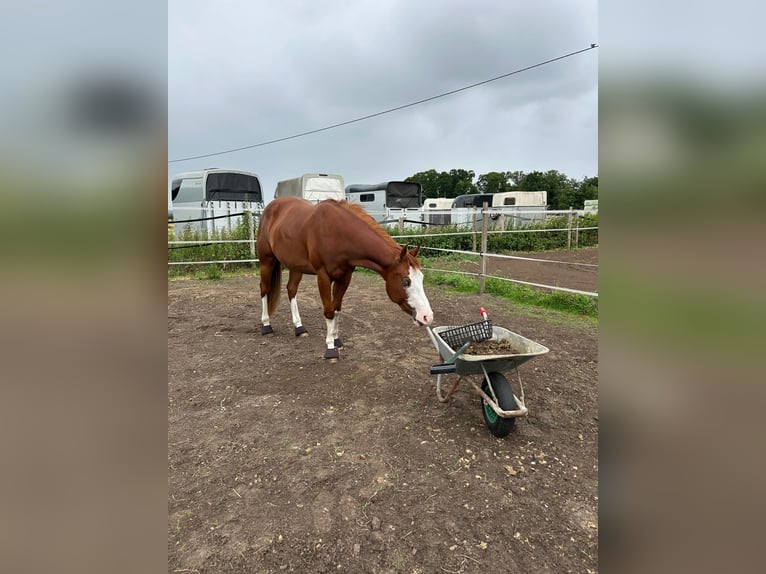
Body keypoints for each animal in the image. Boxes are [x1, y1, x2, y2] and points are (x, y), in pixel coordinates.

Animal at [256, 197, 434, 361]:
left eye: (422, 278)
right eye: (406, 281)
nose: (427, 317)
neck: (338, 233)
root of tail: (271, 207)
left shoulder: (344, 277)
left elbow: (336, 309)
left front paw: (336, 340)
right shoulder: (323, 276)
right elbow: (329, 312)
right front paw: (330, 349)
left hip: (295, 267)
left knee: (291, 289)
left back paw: (299, 328)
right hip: (267, 261)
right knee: (265, 289)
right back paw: (266, 325)